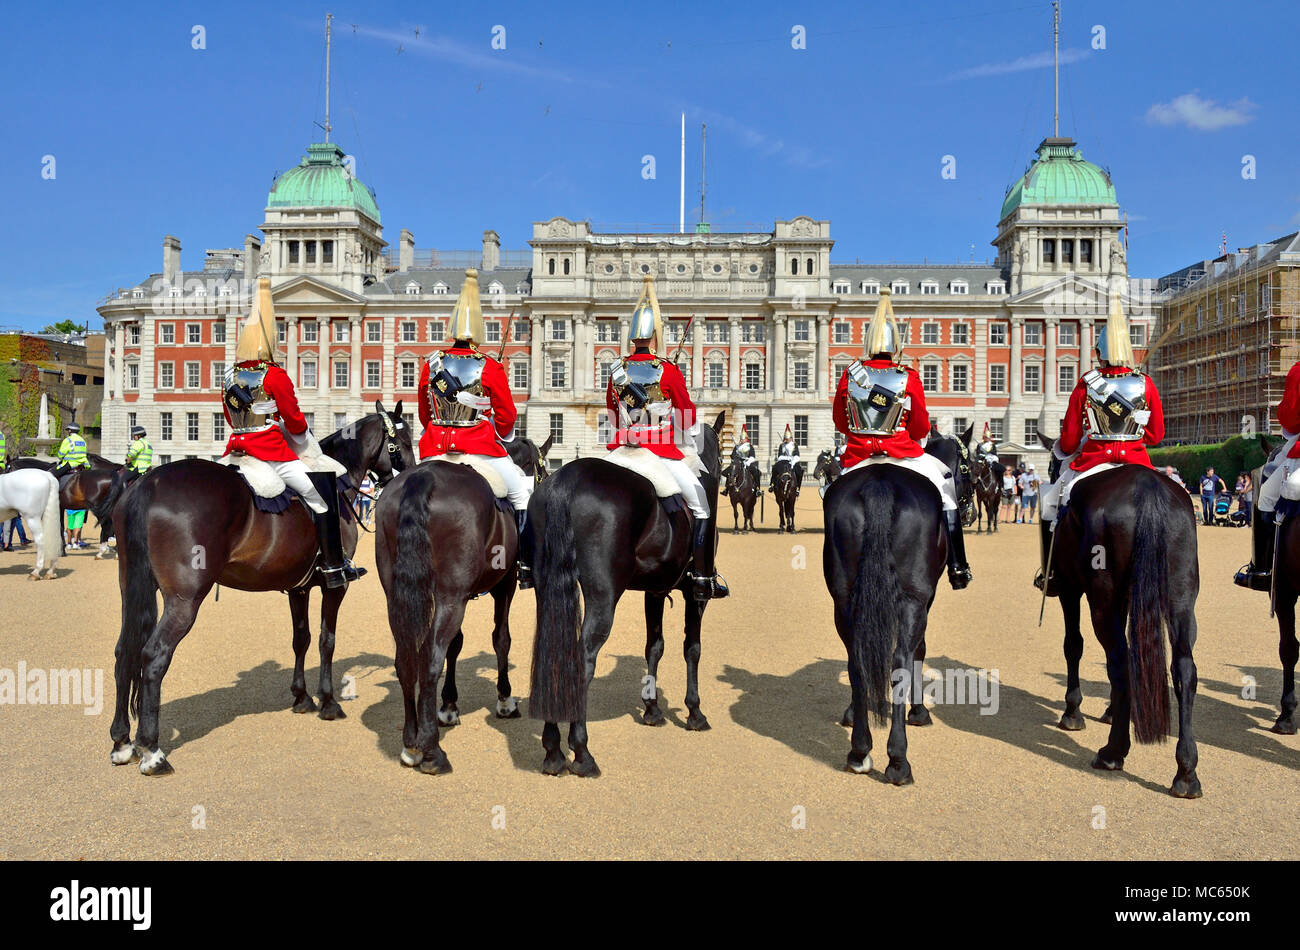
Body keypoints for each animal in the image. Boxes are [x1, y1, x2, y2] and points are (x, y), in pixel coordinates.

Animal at [112, 405, 418, 774]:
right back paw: (152, 751)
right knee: (154, 656)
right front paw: (329, 701)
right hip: (184, 601)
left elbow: (301, 639)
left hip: (131, 590)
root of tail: (149, 482)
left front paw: (302, 697)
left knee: (124, 653)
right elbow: (327, 641)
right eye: (403, 440)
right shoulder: (335, 586)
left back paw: (122, 741)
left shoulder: (299, 588)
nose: (411, 478)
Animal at [374, 457, 520, 774]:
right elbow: (501, 639)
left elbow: (456, 644)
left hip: (396, 599)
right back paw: (432, 752)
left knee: (406, 661)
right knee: (430, 659)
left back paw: (411, 745)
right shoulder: (506, 582)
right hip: (452, 598)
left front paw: (449, 705)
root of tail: (423, 477)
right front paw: (504, 700)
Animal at [530, 413, 733, 774]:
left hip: (548, 591)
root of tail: (565, 480)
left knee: (554, 650)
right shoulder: (696, 596)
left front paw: (652, 709)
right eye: (721, 459)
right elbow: (692, 648)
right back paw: (582, 753)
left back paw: (553, 752)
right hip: (603, 597)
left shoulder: (655, 590)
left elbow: (655, 646)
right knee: (582, 657)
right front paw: (694, 712)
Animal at [1040, 434, 1201, 800]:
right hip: (1181, 602)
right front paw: (1113, 711)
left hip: (1101, 600)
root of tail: (1147, 489)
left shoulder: (1071, 589)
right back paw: (1186, 772)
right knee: (1183, 668)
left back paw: (1113, 752)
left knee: (1120, 662)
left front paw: (1073, 711)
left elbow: (1073, 646)